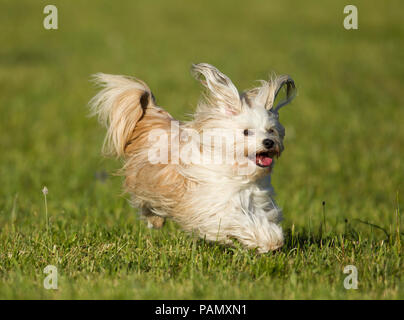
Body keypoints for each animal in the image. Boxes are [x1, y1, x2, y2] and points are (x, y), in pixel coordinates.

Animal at [90, 63, 296, 252]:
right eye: (246, 132)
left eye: (271, 130)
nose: (269, 142)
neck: (237, 171)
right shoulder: (214, 205)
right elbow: (237, 221)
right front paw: (262, 239)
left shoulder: (255, 200)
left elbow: (263, 219)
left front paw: (272, 239)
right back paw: (154, 220)